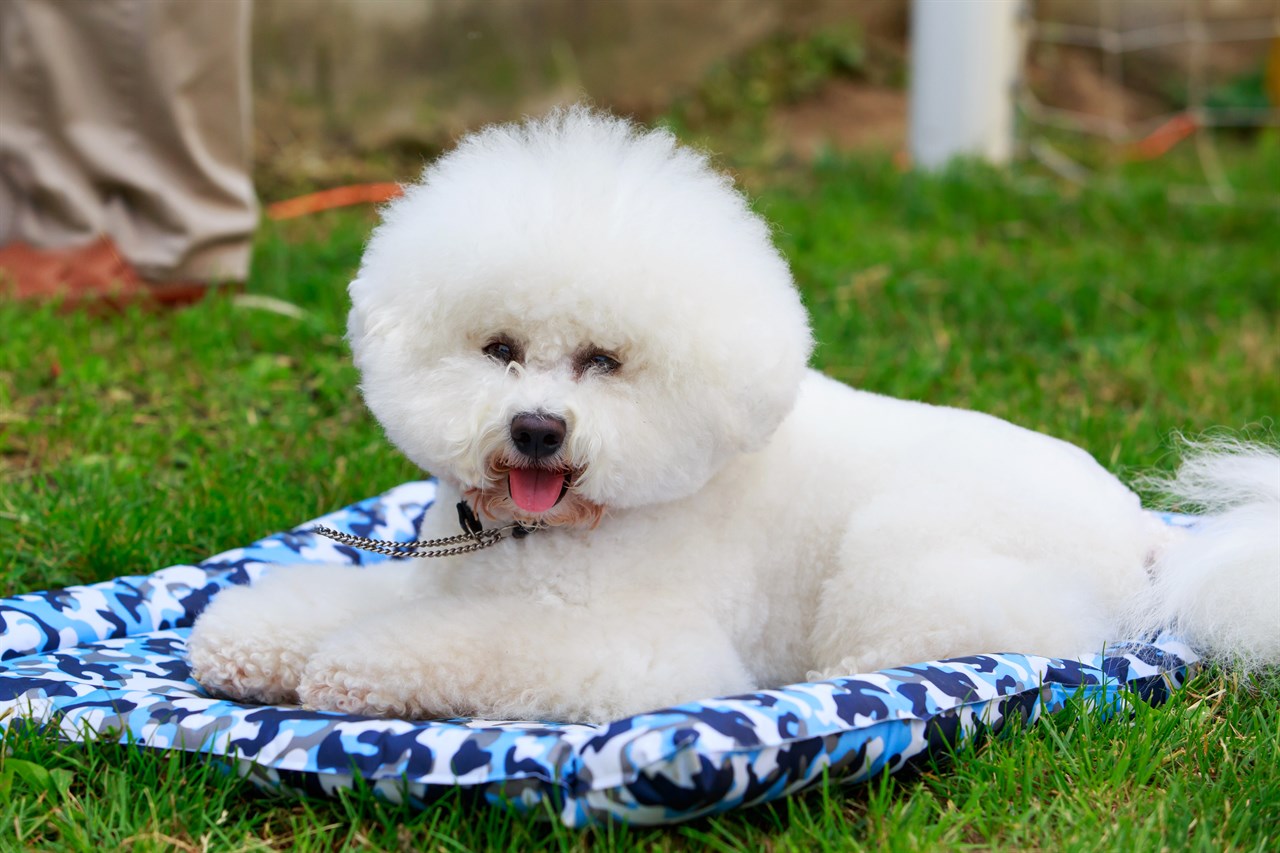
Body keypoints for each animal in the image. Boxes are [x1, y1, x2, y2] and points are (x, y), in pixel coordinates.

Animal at [185, 104, 1274, 717]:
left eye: (605, 361)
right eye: (498, 349)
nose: (537, 430)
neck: (537, 538)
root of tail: (1146, 537)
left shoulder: (638, 652)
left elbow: (452, 646)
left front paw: (352, 667)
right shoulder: (437, 579)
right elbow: (342, 600)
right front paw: (254, 640)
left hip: (905, 552)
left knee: (956, 637)